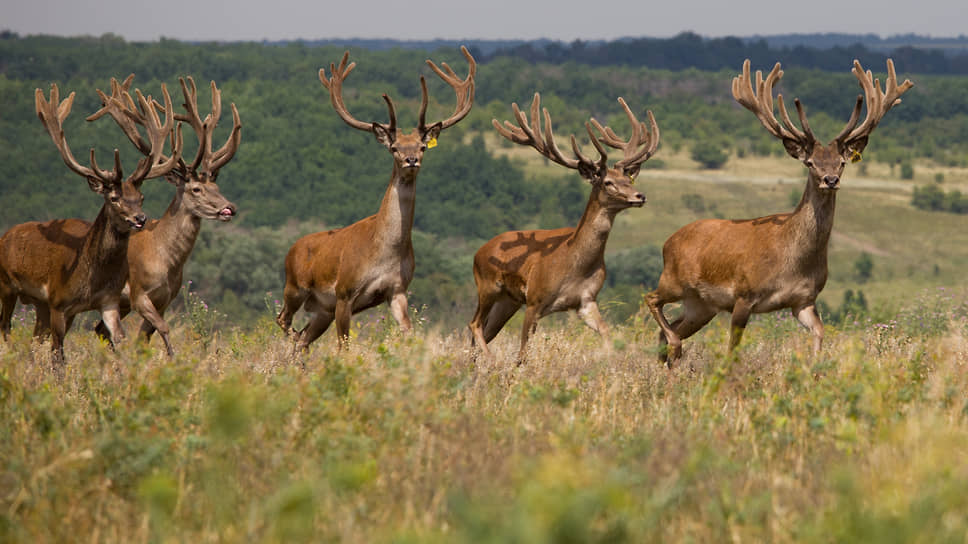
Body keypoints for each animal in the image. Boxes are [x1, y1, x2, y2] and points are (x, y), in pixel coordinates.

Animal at [0, 81, 181, 366]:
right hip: (7, 286)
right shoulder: (58, 302)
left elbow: (119, 342)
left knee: (32, 339)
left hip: (39, 304)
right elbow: (58, 358)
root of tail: (6, 235)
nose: (140, 219)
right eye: (114, 197)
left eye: (140, 197)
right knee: (6, 328)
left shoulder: (109, 301)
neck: (89, 278)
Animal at [88, 76, 241, 356]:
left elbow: (145, 337)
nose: (229, 208)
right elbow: (163, 329)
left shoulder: (166, 298)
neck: (164, 261)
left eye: (216, 186)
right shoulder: (139, 294)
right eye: (196, 189)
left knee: (100, 329)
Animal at [276, 47, 476, 352]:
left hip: (321, 309)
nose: (411, 160)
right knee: (284, 321)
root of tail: (292, 249)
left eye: (421, 146)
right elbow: (344, 346)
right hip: (295, 288)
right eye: (394, 147)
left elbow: (409, 333)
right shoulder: (344, 292)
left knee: (303, 337)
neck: (383, 250)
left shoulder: (397, 289)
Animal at [466, 93, 656, 362]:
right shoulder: (534, 300)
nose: (640, 196)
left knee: (482, 330)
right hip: (488, 286)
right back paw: (490, 362)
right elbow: (523, 352)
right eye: (608, 182)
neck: (574, 263)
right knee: (474, 324)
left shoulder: (586, 300)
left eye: (628, 179)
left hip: (508, 301)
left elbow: (607, 332)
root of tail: (478, 252)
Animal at [648, 59, 912, 364]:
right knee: (651, 299)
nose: (830, 180)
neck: (791, 260)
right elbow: (732, 348)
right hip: (674, 281)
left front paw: (813, 366)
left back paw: (667, 362)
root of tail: (667, 242)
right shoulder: (744, 294)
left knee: (668, 328)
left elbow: (820, 332)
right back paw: (675, 347)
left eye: (842, 162)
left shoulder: (804, 299)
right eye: (810, 162)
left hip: (701, 305)